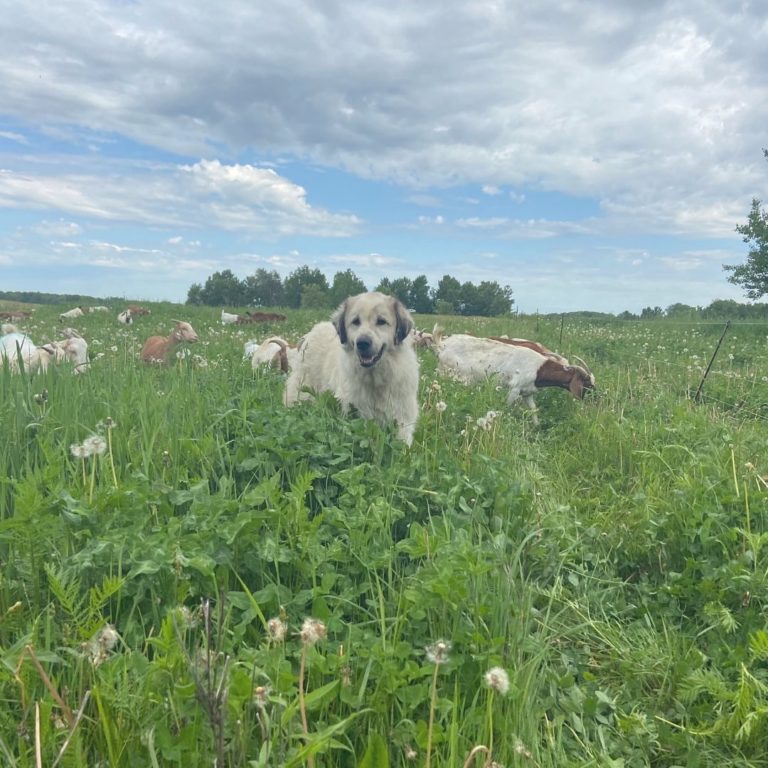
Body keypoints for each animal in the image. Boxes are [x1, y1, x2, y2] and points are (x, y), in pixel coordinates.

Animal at [432, 329, 594, 424]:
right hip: (448, 374)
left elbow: (534, 410)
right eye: (586, 381)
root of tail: (443, 344)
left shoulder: (527, 393)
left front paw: (536, 428)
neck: (539, 369)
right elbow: (507, 407)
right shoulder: (514, 389)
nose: (592, 399)